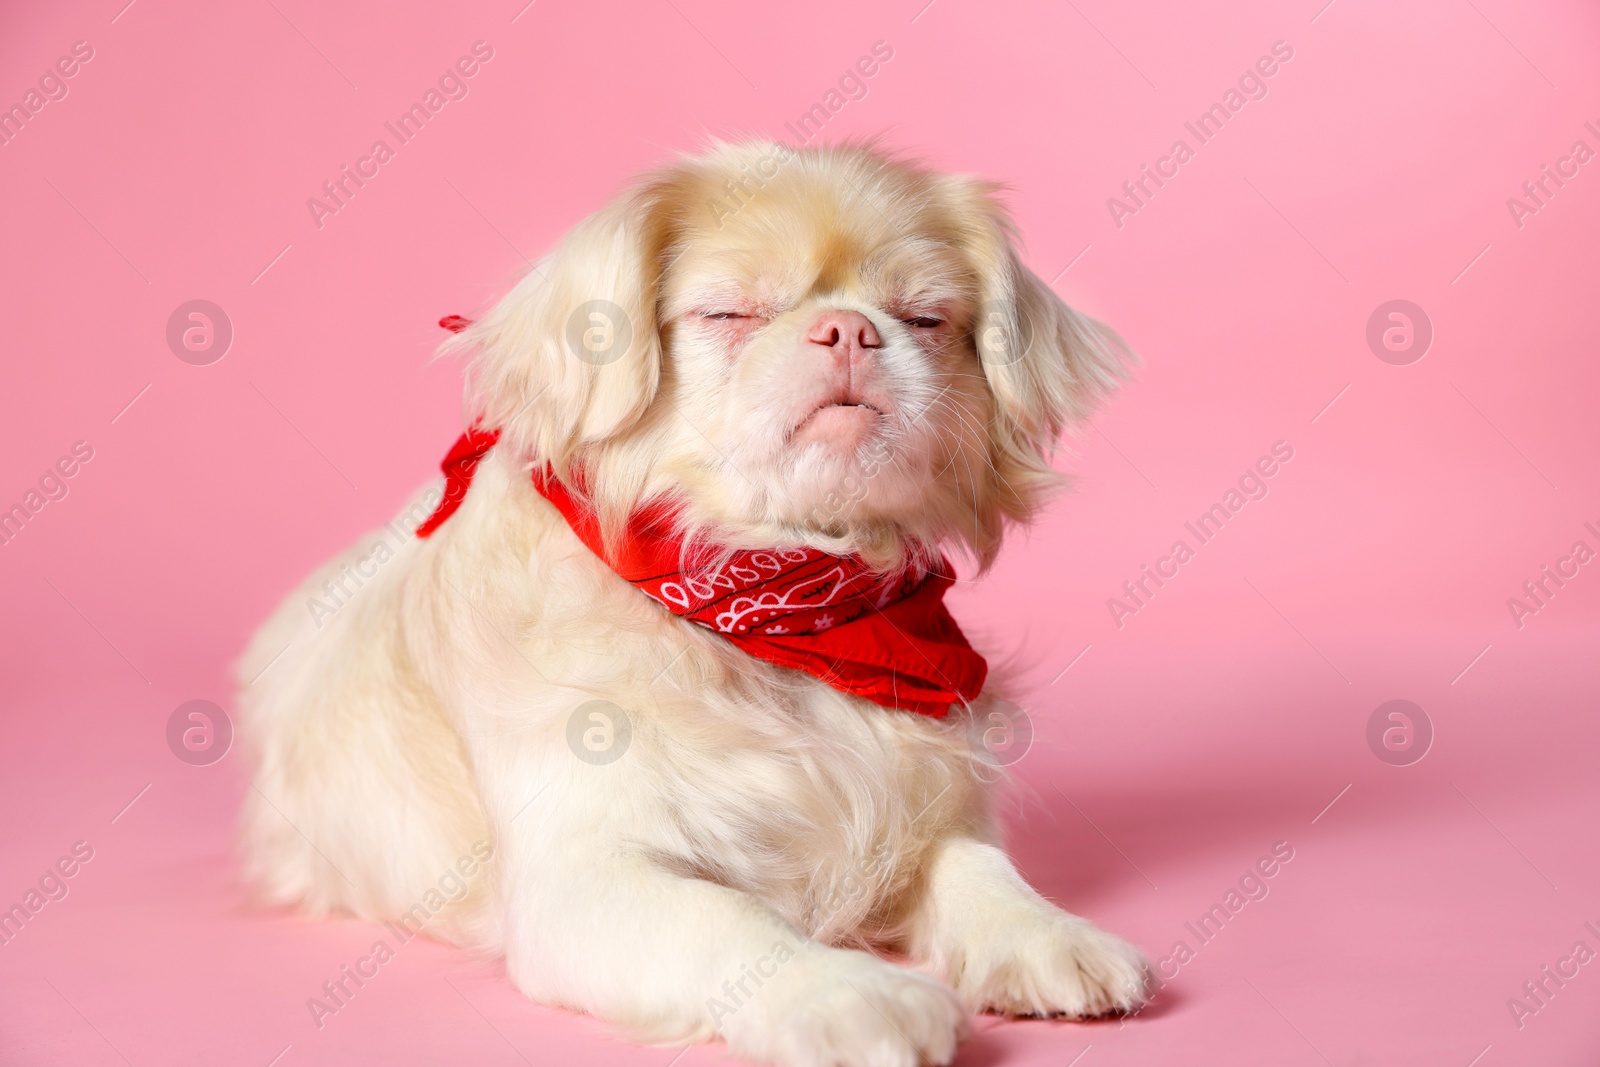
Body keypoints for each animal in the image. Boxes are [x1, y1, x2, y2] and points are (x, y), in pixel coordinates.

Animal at [240, 141, 1152, 1067]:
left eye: (924, 319)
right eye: (730, 313)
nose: (850, 328)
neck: (787, 608)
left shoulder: (930, 818)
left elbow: (980, 871)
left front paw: (1049, 933)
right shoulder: (587, 881)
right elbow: (737, 925)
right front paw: (852, 994)